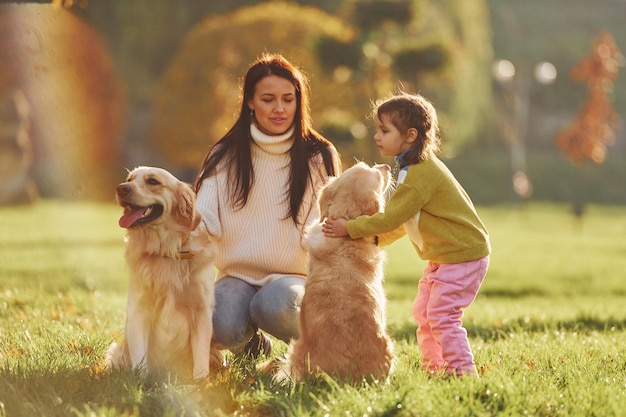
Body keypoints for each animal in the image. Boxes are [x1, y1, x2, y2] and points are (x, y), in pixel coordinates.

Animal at [108, 166, 221, 380]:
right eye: (129, 179)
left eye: (153, 181)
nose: (121, 188)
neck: (165, 249)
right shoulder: (138, 310)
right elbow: (139, 357)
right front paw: (140, 380)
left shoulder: (202, 312)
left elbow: (200, 358)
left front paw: (201, 382)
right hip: (115, 351)